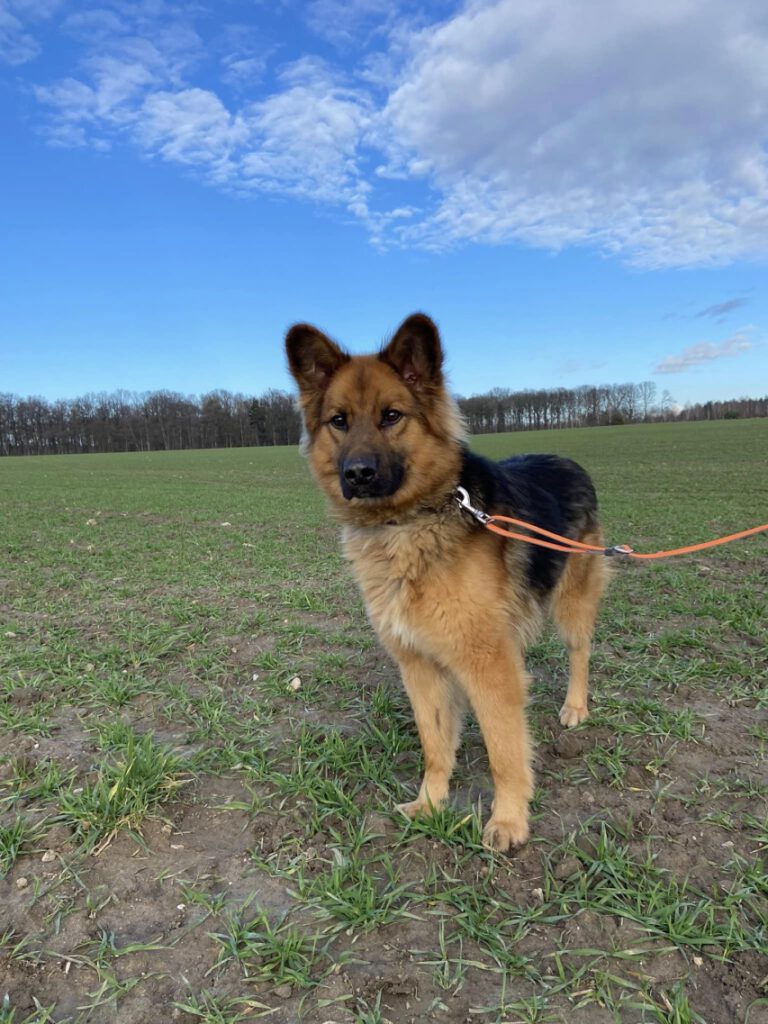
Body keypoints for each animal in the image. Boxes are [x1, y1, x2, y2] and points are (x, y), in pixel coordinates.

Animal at [286, 311, 610, 847]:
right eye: (339, 421)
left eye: (391, 416)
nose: (357, 474)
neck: (408, 522)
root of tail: (567, 459)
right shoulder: (419, 664)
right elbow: (436, 743)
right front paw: (431, 803)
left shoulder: (486, 663)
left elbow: (504, 748)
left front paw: (509, 819)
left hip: (572, 601)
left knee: (579, 651)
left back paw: (575, 707)